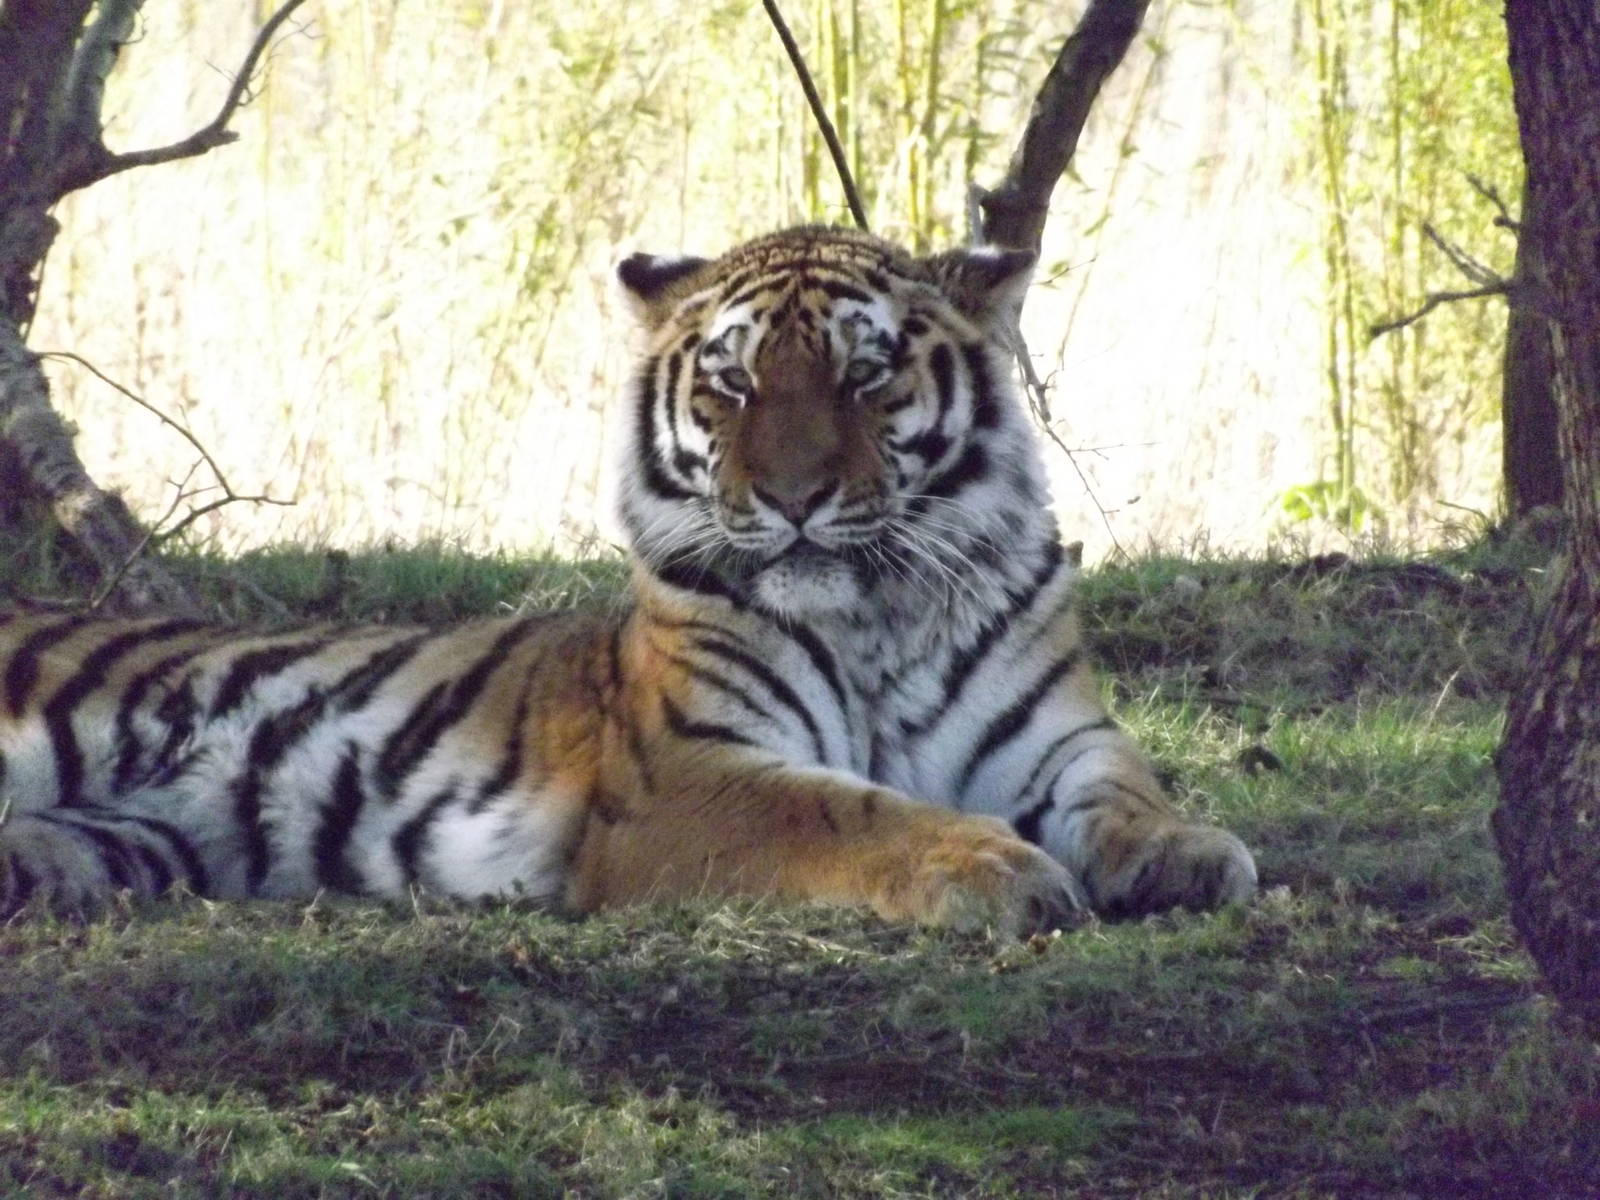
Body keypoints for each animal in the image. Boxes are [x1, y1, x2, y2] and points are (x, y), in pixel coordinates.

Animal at [0, 225, 1256, 933]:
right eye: (734, 384)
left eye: (863, 377)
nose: (792, 496)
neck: (878, 617)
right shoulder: (693, 771)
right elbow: (856, 808)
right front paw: (995, 869)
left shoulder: (1060, 743)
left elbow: (1130, 795)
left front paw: (1191, 854)